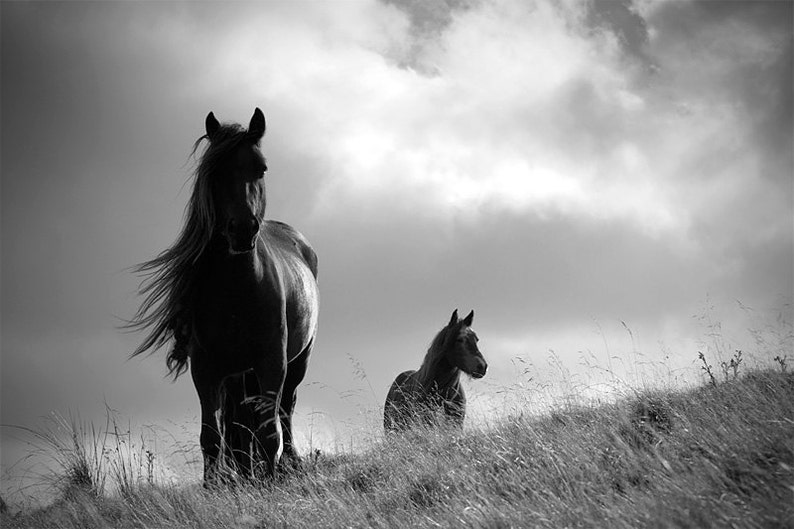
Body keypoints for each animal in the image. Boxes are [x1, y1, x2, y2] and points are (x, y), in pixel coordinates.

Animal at [128, 108, 319, 482]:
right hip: (237, 374)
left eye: (261, 168)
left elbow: (269, 430)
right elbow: (211, 436)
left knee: (285, 410)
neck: (238, 288)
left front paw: (270, 479)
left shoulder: (272, 362)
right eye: (215, 171)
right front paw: (215, 484)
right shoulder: (207, 369)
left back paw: (289, 463)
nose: (243, 230)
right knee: (239, 420)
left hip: (297, 361)